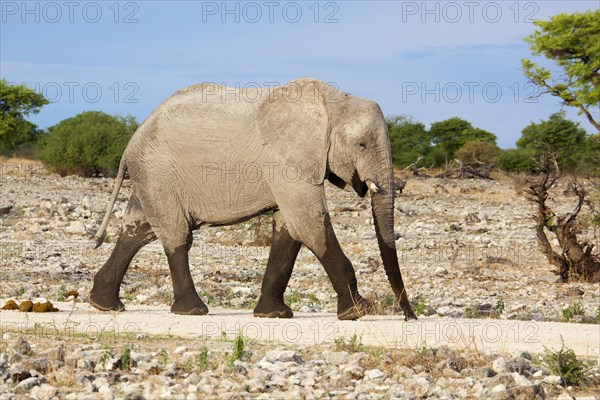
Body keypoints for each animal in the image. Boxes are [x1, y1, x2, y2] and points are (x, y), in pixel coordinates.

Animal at [90, 78, 418, 322]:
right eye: (361, 145)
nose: (409, 316)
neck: (335, 101)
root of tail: (132, 141)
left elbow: (289, 231)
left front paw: (274, 315)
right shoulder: (286, 160)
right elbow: (309, 225)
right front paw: (359, 311)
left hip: (152, 175)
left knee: (137, 230)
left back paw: (103, 304)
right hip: (158, 171)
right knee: (176, 234)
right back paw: (193, 310)